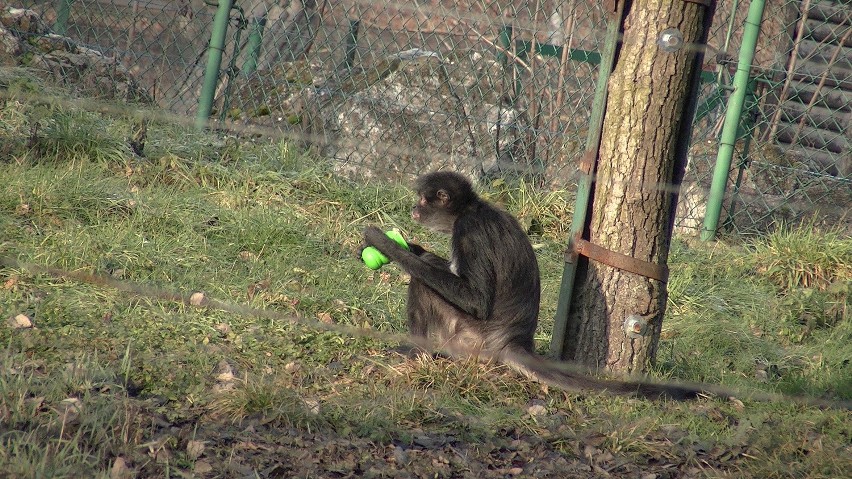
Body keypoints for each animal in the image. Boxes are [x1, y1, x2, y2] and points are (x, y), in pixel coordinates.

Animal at [362, 172, 708, 402]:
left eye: (423, 199)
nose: (414, 210)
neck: (473, 210)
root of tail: (513, 340)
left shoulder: (469, 231)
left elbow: (475, 301)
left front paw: (383, 243)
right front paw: (409, 247)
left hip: (468, 338)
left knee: (423, 284)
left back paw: (416, 353)